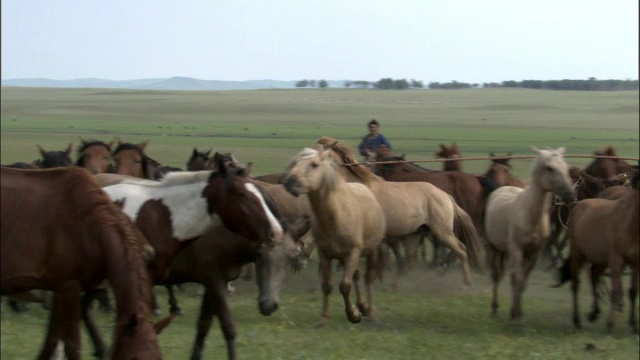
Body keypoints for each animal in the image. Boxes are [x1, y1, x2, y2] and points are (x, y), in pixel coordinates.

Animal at [0, 167, 165, 358]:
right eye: (134, 358)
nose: (149, 253)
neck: (88, 226)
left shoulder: (60, 288)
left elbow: (52, 341)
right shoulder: (69, 286)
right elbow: (72, 344)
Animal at [282, 145, 384, 324]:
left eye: (314, 164)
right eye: (295, 163)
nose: (290, 182)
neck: (336, 215)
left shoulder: (352, 253)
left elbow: (344, 286)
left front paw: (353, 315)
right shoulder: (326, 254)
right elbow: (327, 285)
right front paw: (324, 318)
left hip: (371, 252)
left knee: (368, 278)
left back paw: (370, 313)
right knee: (357, 276)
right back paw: (362, 306)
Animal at [316, 136, 484, 288]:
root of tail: (446, 196)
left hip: (442, 232)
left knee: (461, 249)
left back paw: (464, 281)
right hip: (415, 233)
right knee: (410, 260)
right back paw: (394, 283)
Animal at [484, 146, 576, 326]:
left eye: (565, 166)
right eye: (550, 168)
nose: (570, 196)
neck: (530, 215)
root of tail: (500, 189)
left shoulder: (534, 253)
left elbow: (523, 282)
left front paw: (518, 315)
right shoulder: (517, 250)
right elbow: (518, 279)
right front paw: (515, 318)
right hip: (494, 248)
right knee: (496, 276)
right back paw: (494, 309)